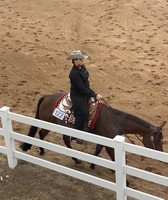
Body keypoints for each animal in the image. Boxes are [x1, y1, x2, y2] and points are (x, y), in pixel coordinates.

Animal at [20, 92, 166, 167]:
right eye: (157, 140)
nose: (160, 155)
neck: (114, 120)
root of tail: (46, 97)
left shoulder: (104, 138)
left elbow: (97, 150)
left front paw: (92, 164)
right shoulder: (110, 144)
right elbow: (113, 157)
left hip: (52, 123)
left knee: (42, 134)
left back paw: (43, 150)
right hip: (50, 122)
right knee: (61, 139)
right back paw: (75, 159)